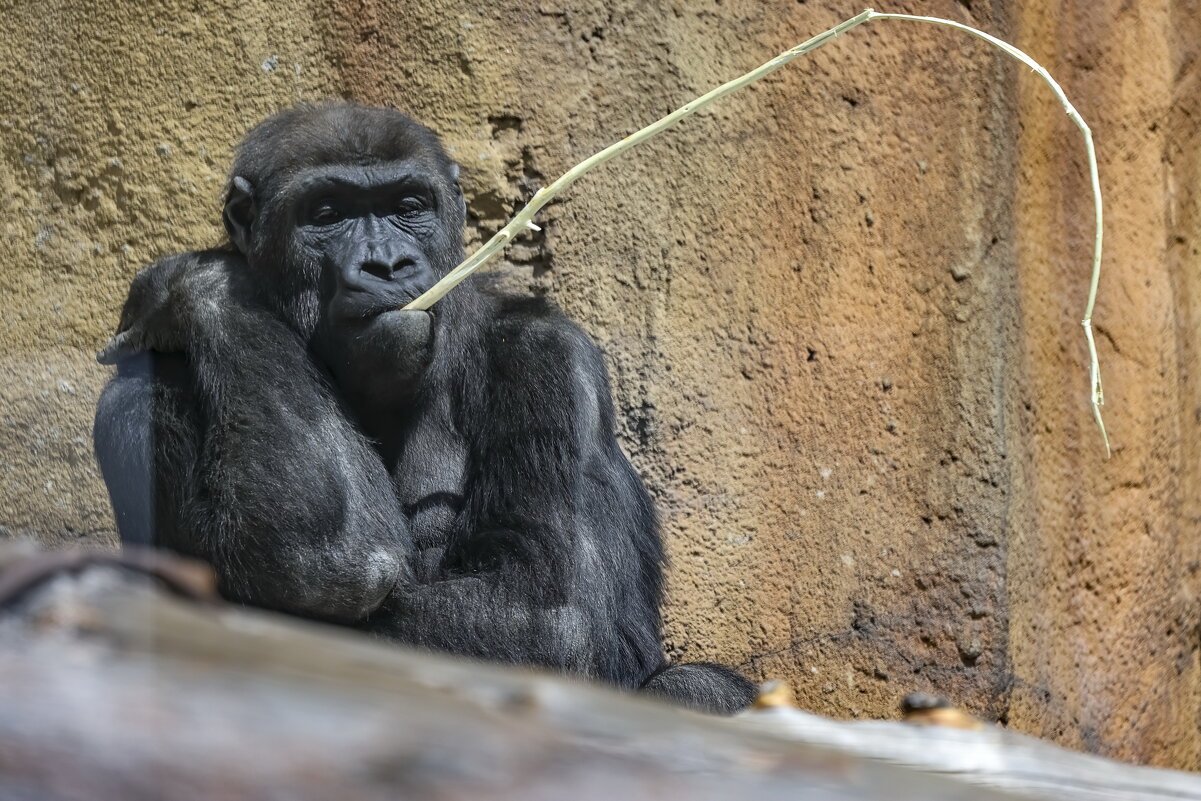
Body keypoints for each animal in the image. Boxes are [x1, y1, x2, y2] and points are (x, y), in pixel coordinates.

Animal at [93, 102, 754, 715]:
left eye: (409, 205)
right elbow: (324, 559)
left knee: (692, 688)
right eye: (327, 214)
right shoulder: (138, 398)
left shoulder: (547, 359)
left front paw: (189, 280)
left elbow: (549, 615)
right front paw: (209, 286)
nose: (387, 264)